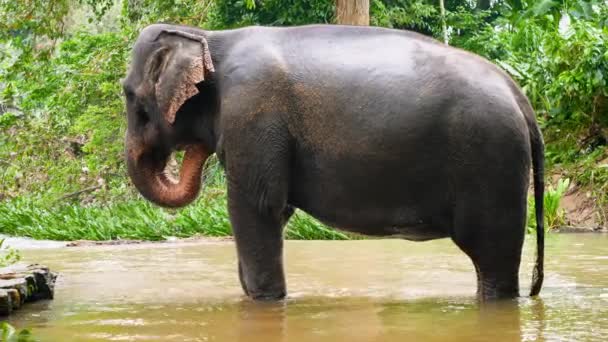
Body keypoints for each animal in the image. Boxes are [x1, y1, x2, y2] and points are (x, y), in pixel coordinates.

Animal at [121, 24, 544, 300]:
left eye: (129, 96)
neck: (207, 36)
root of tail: (518, 95)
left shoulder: (252, 114)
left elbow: (257, 208)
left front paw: (266, 303)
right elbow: (277, 211)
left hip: (492, 162)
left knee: (492, 255)